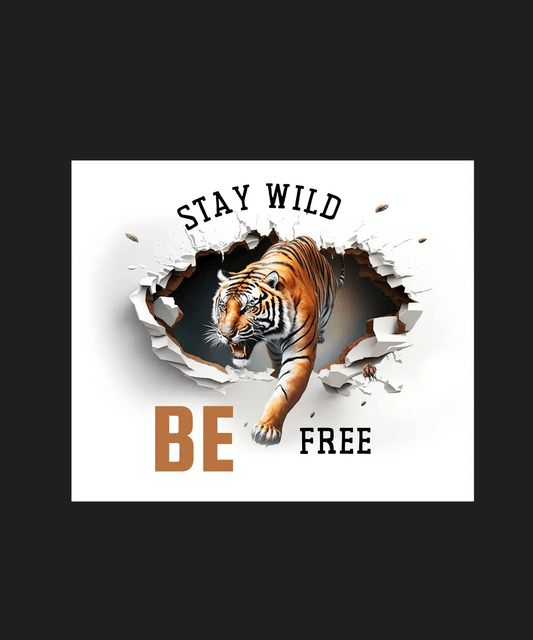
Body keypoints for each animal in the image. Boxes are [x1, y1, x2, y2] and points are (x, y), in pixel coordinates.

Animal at [208, 235, 345, 446]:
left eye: (248, 308)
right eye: (223, 307)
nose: (226, 334)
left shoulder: (299, 355)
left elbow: (284, 393)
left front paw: (267, 429)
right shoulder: (273, 349)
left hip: (328, 304)